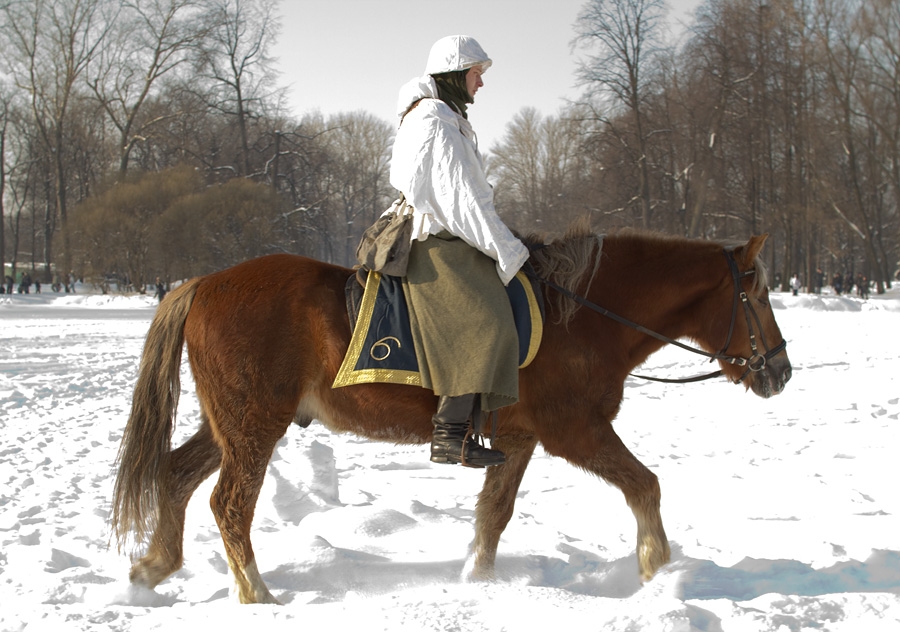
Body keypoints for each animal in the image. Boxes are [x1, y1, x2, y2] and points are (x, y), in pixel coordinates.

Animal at [110, 226, 788, 604]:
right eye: (754, 294)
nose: (780, 371)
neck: (585, 315)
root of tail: (202, 283)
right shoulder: (575, 431)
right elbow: (646, 485)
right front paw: (656, 568)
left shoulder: (518, 439)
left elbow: (494, 515)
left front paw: (477, 581)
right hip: (253, 426)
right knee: (229, 503)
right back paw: (255, 594)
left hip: (228, 426)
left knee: (176, 474)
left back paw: (154, 566)